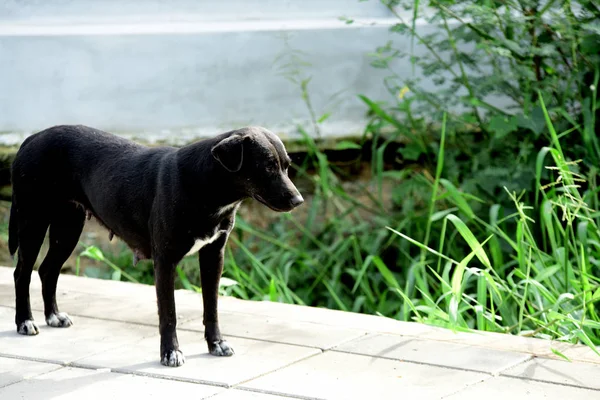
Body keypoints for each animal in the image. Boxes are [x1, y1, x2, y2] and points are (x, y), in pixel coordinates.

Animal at [10, 125, 304, 366]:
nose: (298, 200)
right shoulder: (165, 261)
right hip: (32, 222)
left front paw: (216, 344)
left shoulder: (213, 256)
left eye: (287, 166)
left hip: (68, 227)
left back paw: (53, 316)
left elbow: (212, 307)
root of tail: (31, 138)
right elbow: (169, 313)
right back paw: (25, 321)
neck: (204, 185)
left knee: (48, 270)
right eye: (267, 167)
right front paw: (170, 353)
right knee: (22, 273)